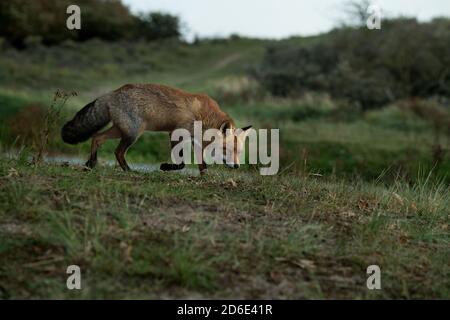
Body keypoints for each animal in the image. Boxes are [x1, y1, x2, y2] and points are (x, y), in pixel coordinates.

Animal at [60, 82, 251, 172]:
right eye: (227, 149)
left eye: (239, 152)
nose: (237, 167)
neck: (204, 117)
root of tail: (111, 93)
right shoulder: (176, 133)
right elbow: (181, 163)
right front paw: (165, 167)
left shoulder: (195, 141)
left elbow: (202, 164)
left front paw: (204, 176)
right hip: (133, 134)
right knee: (118, 152)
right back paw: (129, 171)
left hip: (120, 131)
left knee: (97, 138)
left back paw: (91, 163)